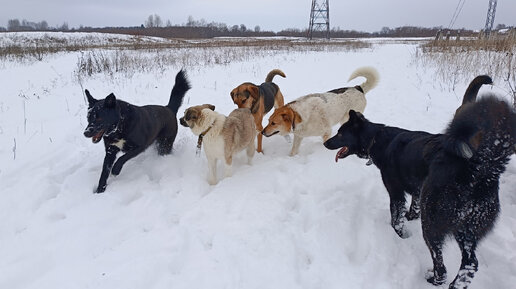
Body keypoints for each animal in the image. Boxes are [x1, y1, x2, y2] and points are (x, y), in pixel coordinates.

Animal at [324, 75, 494, 237]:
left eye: (340, 133)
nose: (325, 143)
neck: (375, 139)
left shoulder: (396, 193)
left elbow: (396, 219)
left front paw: (400, 235)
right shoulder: (417, 191)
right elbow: (414, 209)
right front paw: (410, 218)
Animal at [422, 94, 512, 286]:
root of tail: (480, 174)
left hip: (431, 224)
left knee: (440, 264)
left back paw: (435, 279)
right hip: (468, 230)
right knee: (471, 263)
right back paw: (458, 283)